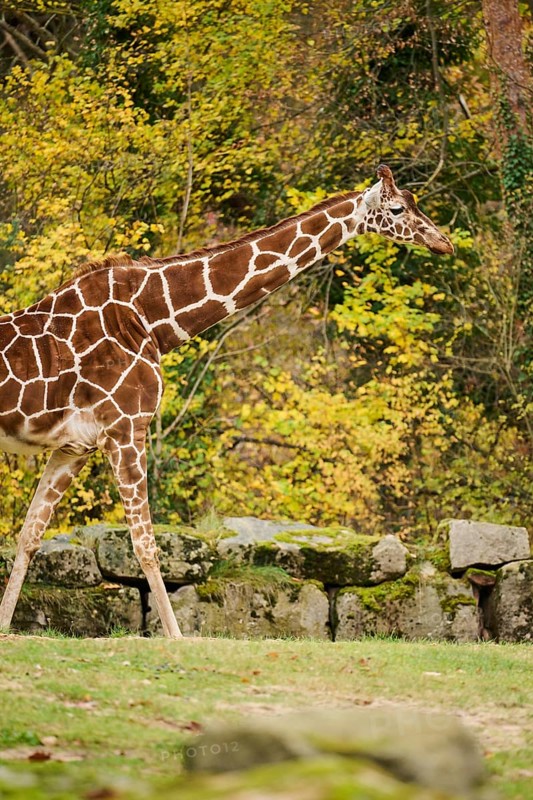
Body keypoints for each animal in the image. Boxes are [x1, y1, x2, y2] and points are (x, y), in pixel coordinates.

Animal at [0, 165, 453, 638]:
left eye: (415, 201)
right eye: (397, 208)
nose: (444, 242)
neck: (153, 319)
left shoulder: (75, 446)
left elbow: (29, 535)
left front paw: (5, 626)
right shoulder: (127, 428)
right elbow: (145, 544)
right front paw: (177, 637)